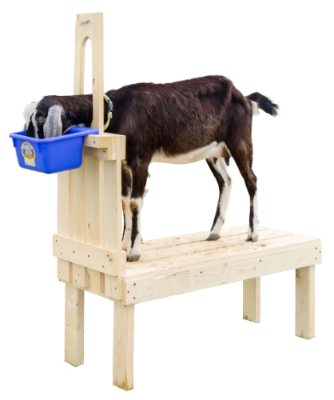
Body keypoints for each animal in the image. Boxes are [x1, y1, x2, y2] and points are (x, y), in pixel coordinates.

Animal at [21, 75, 282, 262]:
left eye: (41, 119)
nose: (28, 146)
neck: (115, 109)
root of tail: (245, 96)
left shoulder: (141, 158)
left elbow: (135, 202)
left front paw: (134, 252)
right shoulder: (123, 163)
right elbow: (124, 200)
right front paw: (124, 244)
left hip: (240, 140)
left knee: (251, 179)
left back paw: (252, 234)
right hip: (213, 151)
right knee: (226, 181)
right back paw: (214, 232)